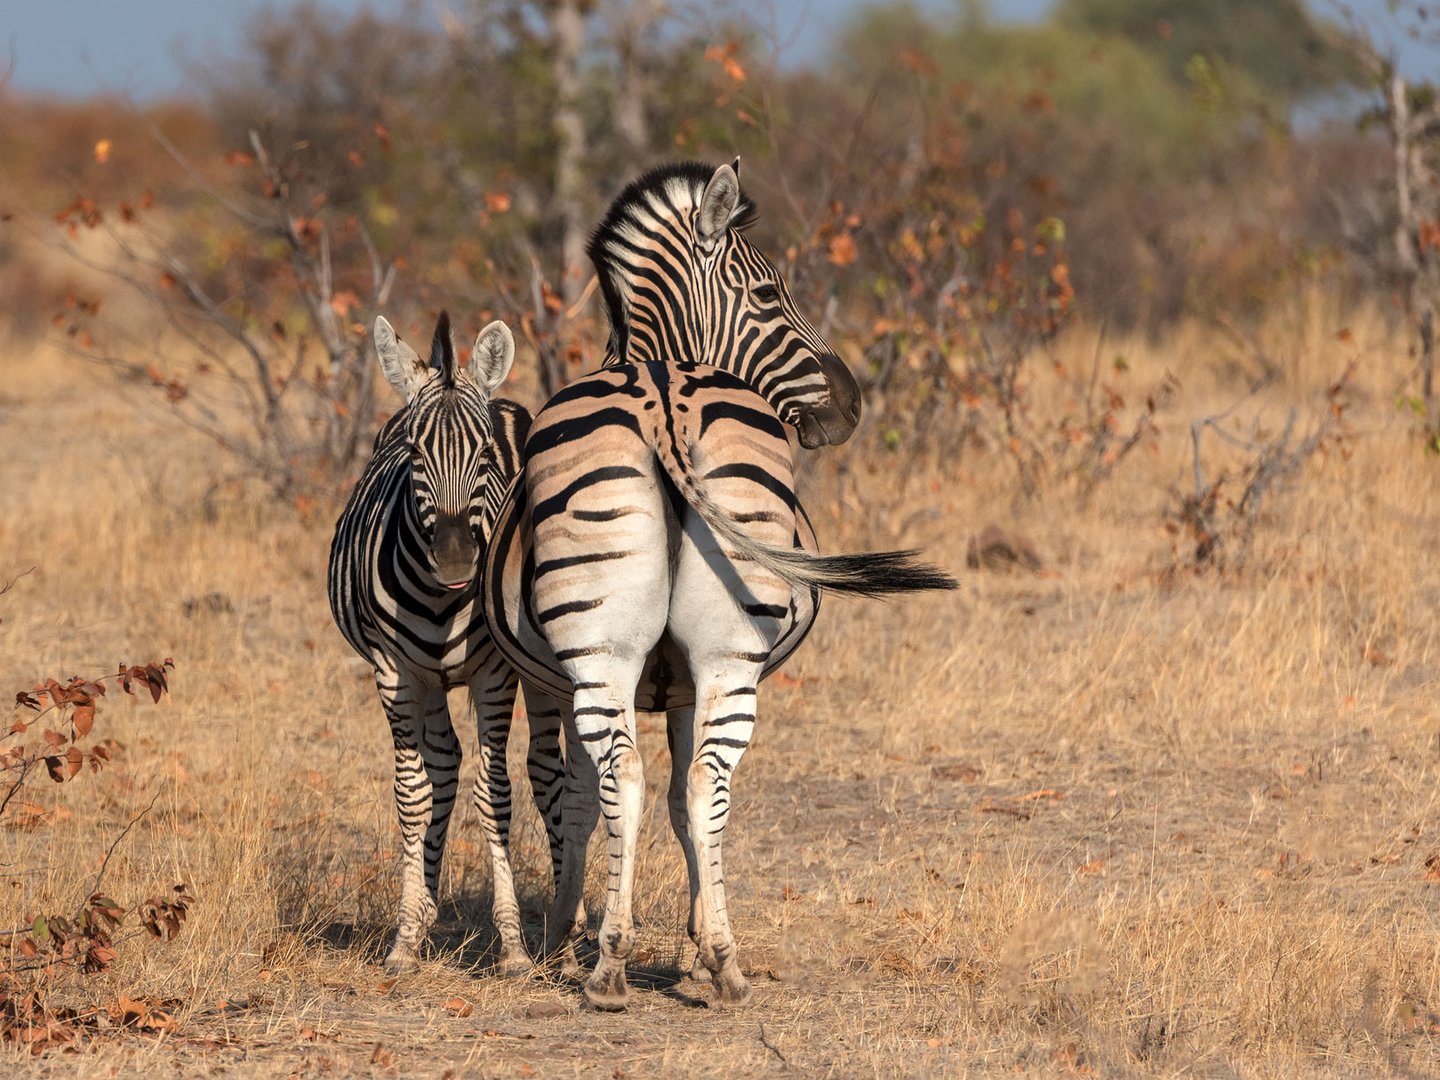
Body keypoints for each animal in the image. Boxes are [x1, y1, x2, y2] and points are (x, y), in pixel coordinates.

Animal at [329, 312, 564, 979]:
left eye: (484, 453)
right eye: (412, 453)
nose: (458, 559)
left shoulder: (495, 674)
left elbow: (496, 794)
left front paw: (513, 946)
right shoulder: (394, 672)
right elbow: (414, 794)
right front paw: (405, 937)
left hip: (539, 669)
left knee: (552, 773)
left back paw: (570, 922)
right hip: (428, 681)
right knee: (441, 763)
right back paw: (426, 910)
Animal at [483, 162, 956, 1013]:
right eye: (769, 292)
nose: (851, 406)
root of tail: (660, 396)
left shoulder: (598, 680)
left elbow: (590, 798)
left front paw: (580, 940)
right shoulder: (672, 683)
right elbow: (668, 803)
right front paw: (690, 948)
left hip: (609, 650)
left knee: (630, 779)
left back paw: (610, 968)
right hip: (724, 653)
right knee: (704, 783)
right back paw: (719, 965)